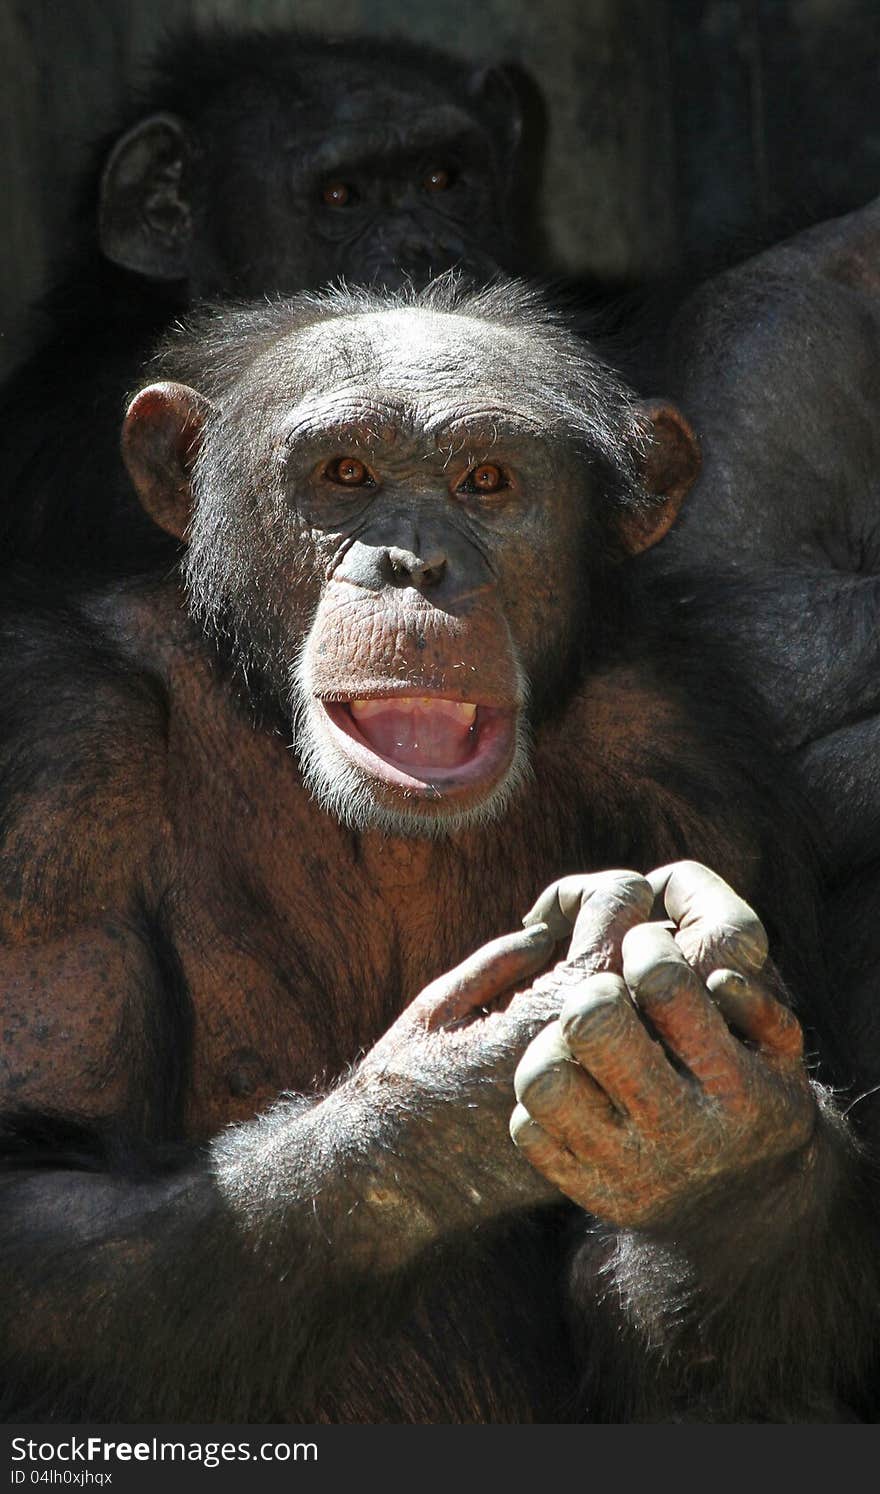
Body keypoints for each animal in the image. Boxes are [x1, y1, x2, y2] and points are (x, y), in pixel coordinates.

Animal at [0, 277, 872, 1422]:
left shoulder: (697, 760)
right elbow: (33, 1168)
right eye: (345, 475)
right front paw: (448, 1097)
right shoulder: (55, 770)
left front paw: (722, 1150)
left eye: (487, 481)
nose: (412, 565)